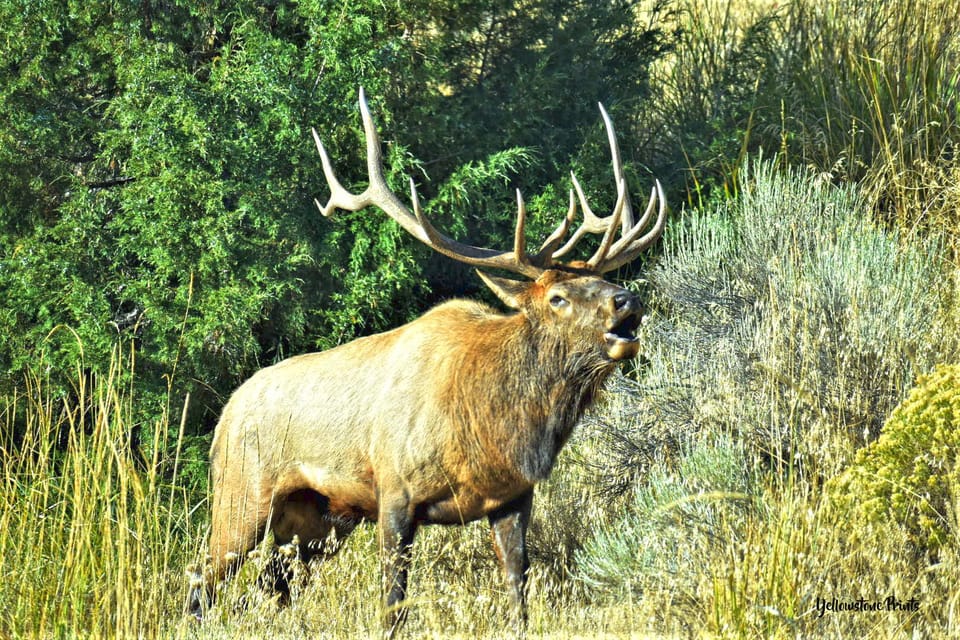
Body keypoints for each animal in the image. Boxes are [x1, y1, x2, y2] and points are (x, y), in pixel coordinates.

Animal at [188, 90, 668, 636]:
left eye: (604, 282)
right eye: (558, 298)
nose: (627, 302)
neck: (495, 429)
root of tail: (225, 415)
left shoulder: (512, 497)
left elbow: (518, 589)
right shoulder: (395, 493)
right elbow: (393, 604)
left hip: (317, 518)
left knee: (275, 584)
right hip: (241, 495)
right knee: (202, 580)